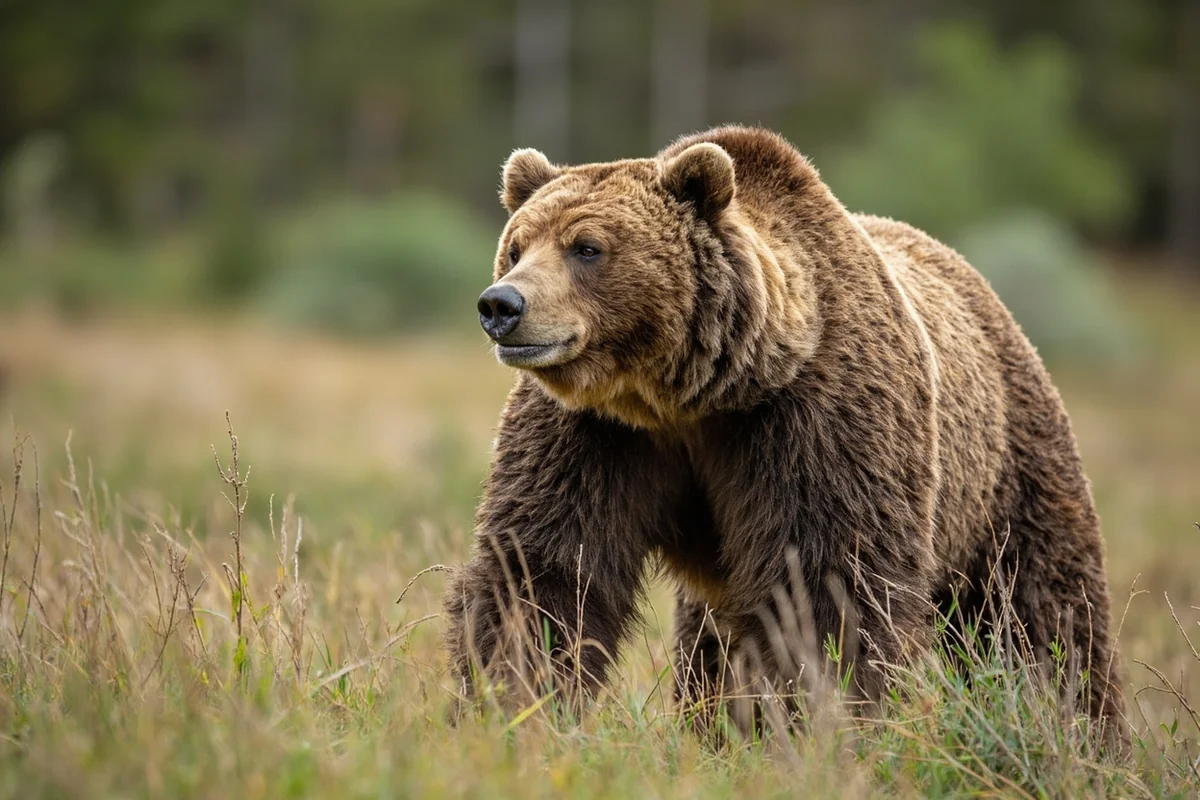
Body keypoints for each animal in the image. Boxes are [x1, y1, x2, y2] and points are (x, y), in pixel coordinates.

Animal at [443, 125, 1126, 748]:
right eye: (516, 247)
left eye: (587, 247)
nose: (502, 305)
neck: (687, 395)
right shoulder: (595, 435)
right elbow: (546, 571)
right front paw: (511, 707)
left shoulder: (816, 423)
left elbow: (827, 587)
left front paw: (815, 727)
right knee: (708, 641)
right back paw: (713, 730)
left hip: (1009, 468)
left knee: (1044, 613)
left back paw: (1081, 732)